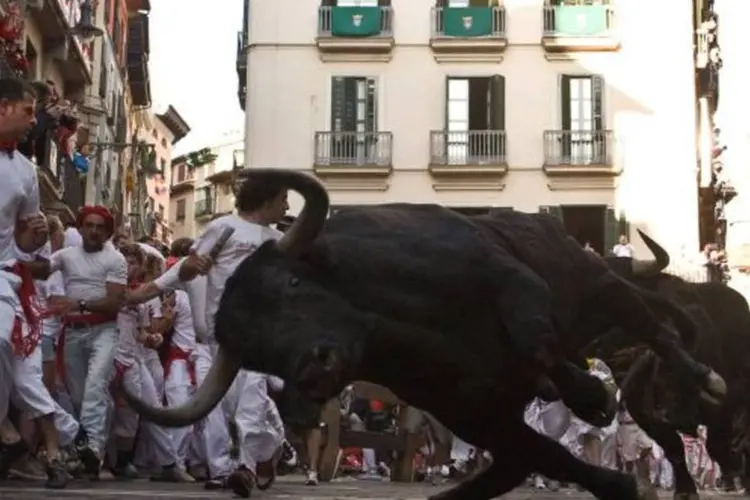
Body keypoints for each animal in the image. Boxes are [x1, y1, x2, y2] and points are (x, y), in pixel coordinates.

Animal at [123, 171, 728, 500]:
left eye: (293, 282)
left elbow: (534, 338)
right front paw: (620, 481)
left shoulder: (510, 279)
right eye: (256, 353)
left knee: (654, 325)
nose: (316, 367)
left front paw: (593, 395)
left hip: (600, 287)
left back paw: (705, 379)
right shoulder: (474, 413)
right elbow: (547, 456)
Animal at [604, 235, 750, 500]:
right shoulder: (643, 412)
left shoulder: (729, 396)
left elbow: (719, 444)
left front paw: (733, 468)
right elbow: (673, 447)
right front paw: (685, 490)